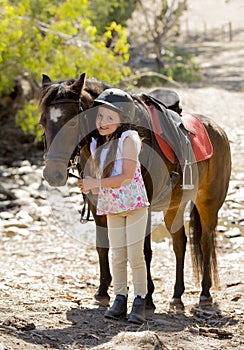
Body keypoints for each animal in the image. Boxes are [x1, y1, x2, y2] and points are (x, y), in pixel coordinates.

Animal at [39, 72, 232, 312]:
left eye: (72, 122)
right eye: (43, 121)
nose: (53, 174)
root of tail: (217, 129)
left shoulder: (144, 208)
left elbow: (144, 251)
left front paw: (147, 297)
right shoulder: (96, 205)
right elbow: (102, 246)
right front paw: (103, 291)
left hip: (208, 203)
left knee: (205, 241)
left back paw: (204, 293)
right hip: (175, 205)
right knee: (180, 243)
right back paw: (177, 296)